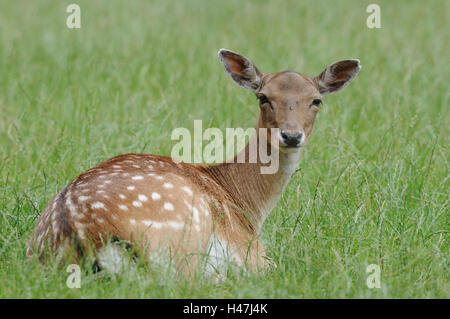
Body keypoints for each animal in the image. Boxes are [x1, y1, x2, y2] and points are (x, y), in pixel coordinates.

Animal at [26, 48, 360, 276]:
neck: (248, 206)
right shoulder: (253, 253)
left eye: (316, 100)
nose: (291, 135)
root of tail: (83, 236)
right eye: (263, 97)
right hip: (185, 235)